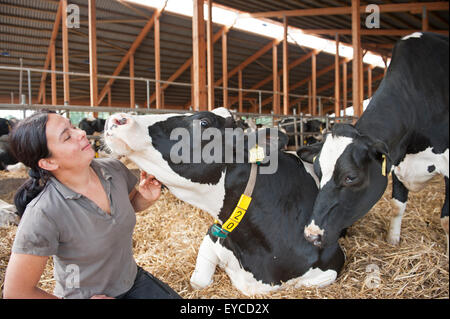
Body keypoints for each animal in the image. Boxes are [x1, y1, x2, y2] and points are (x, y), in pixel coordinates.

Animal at [298, 33, 448, 258]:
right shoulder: (397, 160)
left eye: (350, 177)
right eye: (318, 172)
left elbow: (446, 219)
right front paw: (393, 240)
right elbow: (397, 205)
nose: (311, 235)